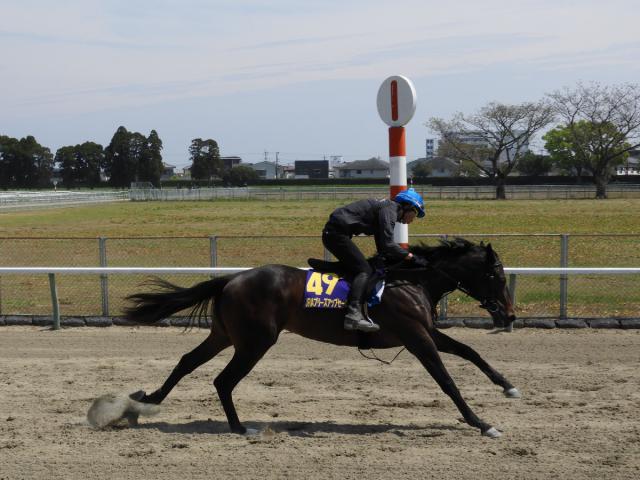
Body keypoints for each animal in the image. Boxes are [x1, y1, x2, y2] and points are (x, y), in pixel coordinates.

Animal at [125, 238, 520, 436]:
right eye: (496, 276)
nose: (510, 314)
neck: (412, 281)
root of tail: (231, 278)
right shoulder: (415, 336)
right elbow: (447, 381)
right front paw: (482, 423)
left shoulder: (426, 332)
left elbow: (469, 352)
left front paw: (508, 386)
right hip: (256, 341)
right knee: (224, 379)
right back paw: (238, 427)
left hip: (226, 335)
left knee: (187, 362)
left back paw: (147, 402)